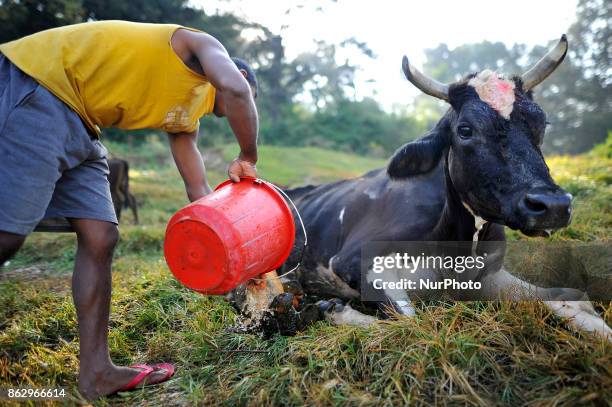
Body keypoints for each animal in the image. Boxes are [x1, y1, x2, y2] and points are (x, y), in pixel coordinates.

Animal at [233, 35, 612, 342]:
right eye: (464, 130)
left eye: (541, 123)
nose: (552, 205)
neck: (454, 249)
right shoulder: (354, 262)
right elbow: (410, 322)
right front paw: (333, 309)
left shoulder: (490, 274)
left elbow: (572, 297)